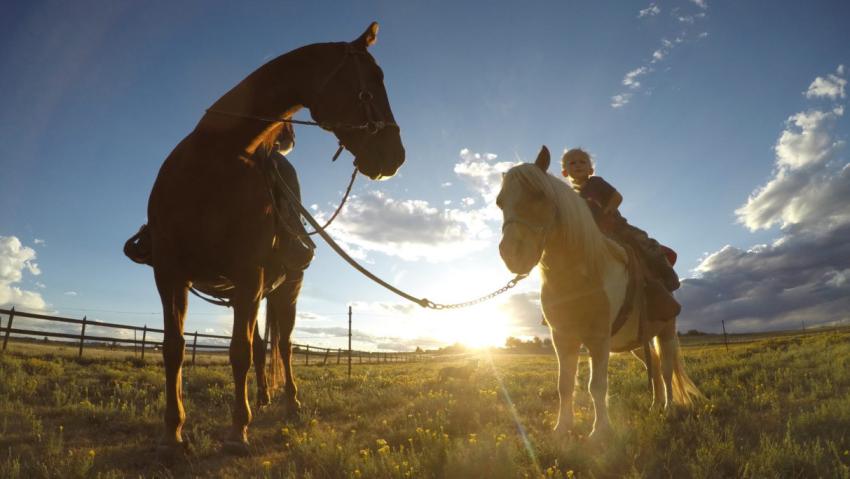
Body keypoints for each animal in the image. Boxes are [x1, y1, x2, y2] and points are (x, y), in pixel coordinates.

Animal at [123, 22, 404, 456]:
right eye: (373, 79)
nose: (395, 156)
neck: (213, 163)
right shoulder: (171, 274)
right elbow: (174, 349)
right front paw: (172, 432)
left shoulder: (248, 274)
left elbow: (239, 352)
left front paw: (238, 431)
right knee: (262, 346)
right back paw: (264, 398)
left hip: (285, 287)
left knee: (284, 346)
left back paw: (290, 402)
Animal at [495, 146, 701, 439]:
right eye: (500, 202)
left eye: (539, 195)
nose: (513, 254)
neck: (580, 277)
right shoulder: (563, 339)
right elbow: (564, 385)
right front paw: (562, 429)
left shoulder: (598, 339)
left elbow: (597, 386)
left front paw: (600, 432)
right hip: (636, 342)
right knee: (653, 366)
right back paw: (655, 406)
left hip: (666, 331)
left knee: (665, 369)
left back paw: (670, 409)